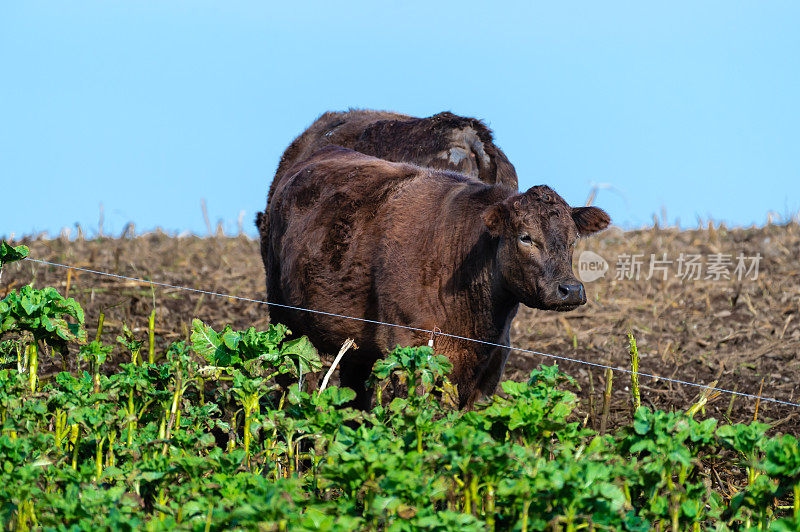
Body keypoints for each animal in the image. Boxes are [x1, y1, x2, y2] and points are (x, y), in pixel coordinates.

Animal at [260, 148, 608, 410]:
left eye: (573, 240)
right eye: (526, 238)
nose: (570, 289)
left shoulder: (492, 363)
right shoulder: (410, 350)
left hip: (354, 341)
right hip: (285, 322)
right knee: (294, 381)